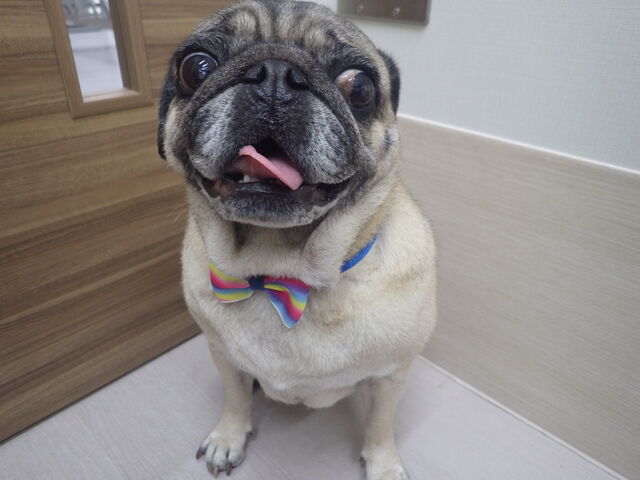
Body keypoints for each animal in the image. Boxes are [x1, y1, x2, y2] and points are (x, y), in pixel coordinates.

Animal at [157, 1, 436, 478]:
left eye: (360, 86)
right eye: (196, 67)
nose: (274, 74)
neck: (281, 273)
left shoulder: (392, 374)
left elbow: (381, 423)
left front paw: (383, 464)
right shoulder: (223, 356)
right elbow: (234, 399)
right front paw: (229, 438)